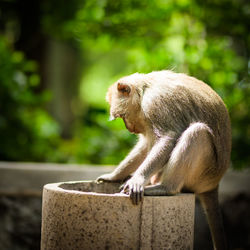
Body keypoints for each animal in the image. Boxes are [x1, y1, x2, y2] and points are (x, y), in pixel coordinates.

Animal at [96, 70, 231, 250]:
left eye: (123, 116)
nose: (129, 128)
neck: (144, 88)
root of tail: (214, 184)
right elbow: (145, 146)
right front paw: (113, 176)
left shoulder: (155, 104)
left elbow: (168, 137)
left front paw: (137, 179)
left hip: (205, 175)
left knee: (197, 132)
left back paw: (166, 188)